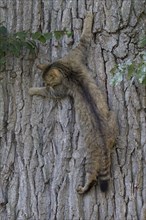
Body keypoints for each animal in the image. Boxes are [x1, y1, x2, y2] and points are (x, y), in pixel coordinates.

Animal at [28, 12, 117, 193]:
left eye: (47, 83)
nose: (46, 84)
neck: (64, 68)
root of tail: (104, 140)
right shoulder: (75, 56)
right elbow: (85, 37)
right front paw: (89, 19)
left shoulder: (60, 88)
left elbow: (48, 93)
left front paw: (33, 89)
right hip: (112, 117)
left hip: (90, 156)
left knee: (92, 173)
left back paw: (84, 186)